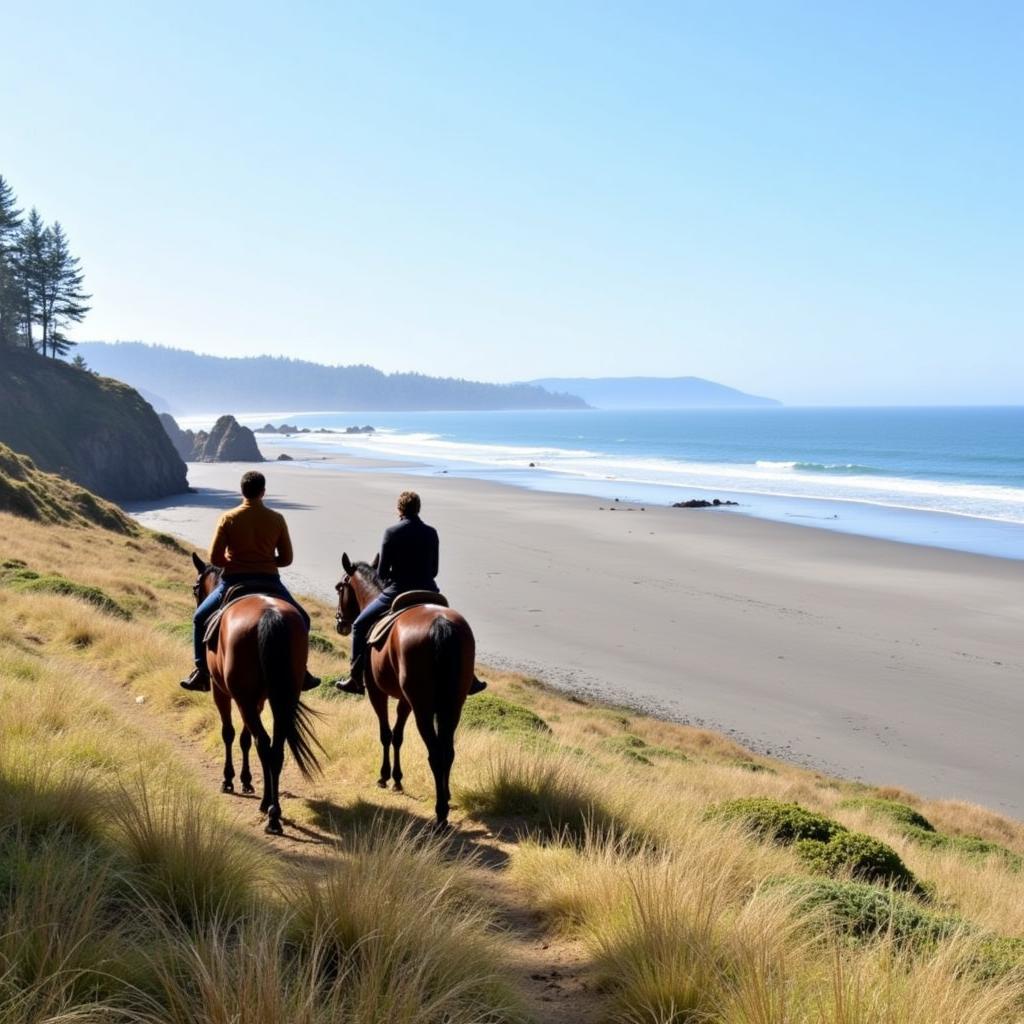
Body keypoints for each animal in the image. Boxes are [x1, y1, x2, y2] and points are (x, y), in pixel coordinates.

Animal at [188, 552, 321, 831]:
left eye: (195, 588)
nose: (197, 598)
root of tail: (270, 616)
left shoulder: (222, 692)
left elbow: (229, 733)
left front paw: (229, 780)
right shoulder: (258, 699)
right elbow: (244, 738)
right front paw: (247, 780)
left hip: (243, 697)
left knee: (264, 743)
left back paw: (269, 811)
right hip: (282, 696)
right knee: (275, 748)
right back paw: (273, 809)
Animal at [337, 552, 477, 823]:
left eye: (340, 587)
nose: (341, 624)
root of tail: (441, 624)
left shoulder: (377, 692)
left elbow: (385, 733)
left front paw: (383, 776)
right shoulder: (405, 700)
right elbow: (398, 735)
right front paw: (398, 779)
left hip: (423, 707)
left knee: (435, 753)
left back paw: (441, 814)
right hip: (452, 705)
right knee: (448, 751)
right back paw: (446, 797)